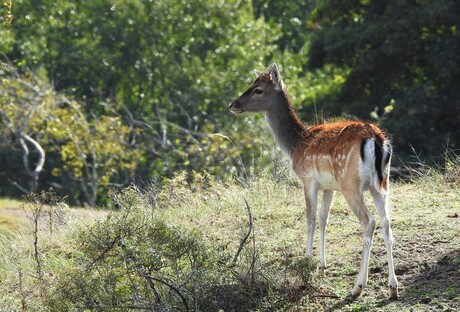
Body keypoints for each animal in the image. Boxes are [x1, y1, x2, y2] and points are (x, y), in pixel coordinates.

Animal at [230, 62, 398, 298]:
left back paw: (358, 286)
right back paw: (393, 288)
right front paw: (321, 266)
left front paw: (308, 261)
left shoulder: (308, 179)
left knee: (369, 222)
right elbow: (323, 219)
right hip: (382, 183)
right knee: (387, 223)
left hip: (350, 184)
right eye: (251, 84)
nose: (233, 104)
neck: (295, 144)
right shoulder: (329, 187)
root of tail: (376, 140)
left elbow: (309, 218)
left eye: (258, 90)